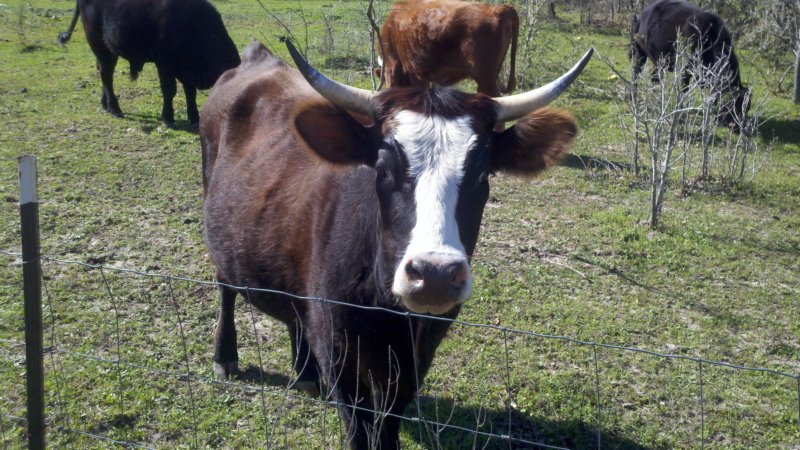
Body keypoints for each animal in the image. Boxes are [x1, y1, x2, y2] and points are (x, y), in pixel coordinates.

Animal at [57, 0, 240, 127]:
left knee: (104, 74)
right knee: (106, 75)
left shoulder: (186, 70)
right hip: (99, 45)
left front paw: (194, 118)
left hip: (109, 50)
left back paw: (105, 104)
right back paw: (115, 109)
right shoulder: (165, 64)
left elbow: (190, 92)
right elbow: (169, 90)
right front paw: (168, 119)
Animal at [200, 38, 592, 449]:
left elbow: (387, 425)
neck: (387, 309)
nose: (435, 274)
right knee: (225, 286)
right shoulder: (341, 356)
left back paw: (305, 372)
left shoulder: (414, 359)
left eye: (484, 174)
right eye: (383, 168)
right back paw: (225, 354)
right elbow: (360, 428)